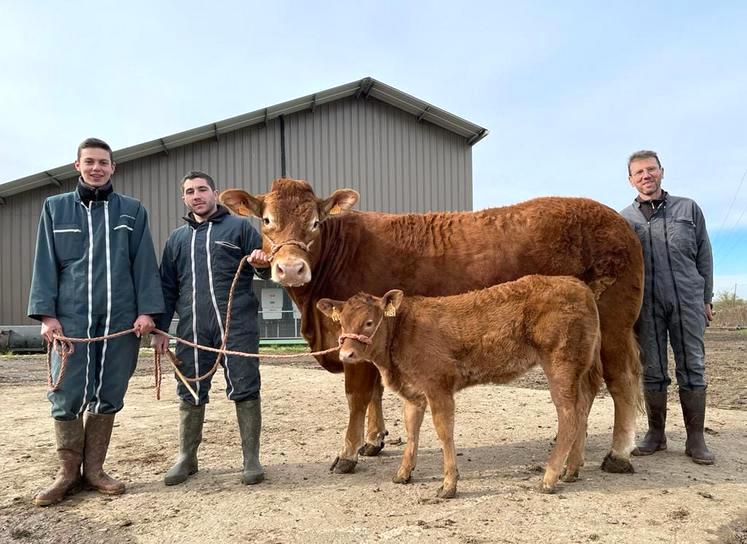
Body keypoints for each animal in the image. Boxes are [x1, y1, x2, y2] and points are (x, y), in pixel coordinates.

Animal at [219, 181, 644, 474]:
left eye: (315, 222)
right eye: (267, 220)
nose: (290, 268)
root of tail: (614, 218)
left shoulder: (358, 341)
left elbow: (357, 397)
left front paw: (347, 453)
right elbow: (375, 393)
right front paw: (374, 441)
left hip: (614, 323)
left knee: (621, 381)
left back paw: (618, 454)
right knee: (589, 387)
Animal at [318, 276, 604, 498]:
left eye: (368, 322)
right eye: (342, 323)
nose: (346, 354)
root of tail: (578, 286)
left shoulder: (438, 387)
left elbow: (444, 433)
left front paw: (448, 485)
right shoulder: (413, 393)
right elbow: (412, 431)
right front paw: (403, 473)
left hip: (560, 364)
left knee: (569, 416)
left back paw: (549, 478)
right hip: (579, 368)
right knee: (582, 408)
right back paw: (571, 470)